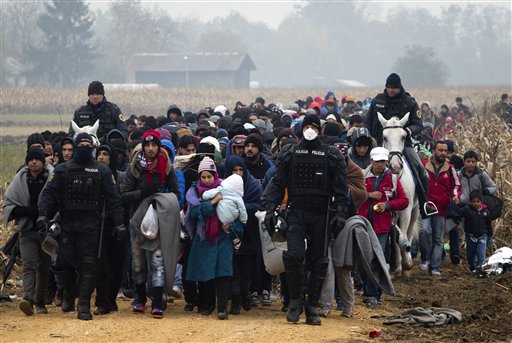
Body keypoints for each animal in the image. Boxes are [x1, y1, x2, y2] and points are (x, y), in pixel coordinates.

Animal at [376, 113, 420, 280]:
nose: (395, 166)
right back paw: (398, 269)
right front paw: (396, 267)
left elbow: (402, 238)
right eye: (385, 137)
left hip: (415, 211)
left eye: (403, 136)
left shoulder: (406, 210)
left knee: (408, 234)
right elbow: (395, 238)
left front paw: (408, 264)